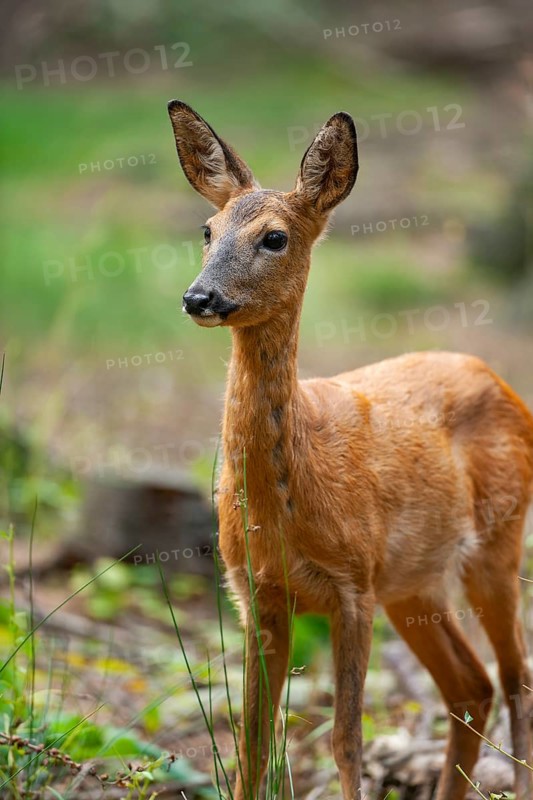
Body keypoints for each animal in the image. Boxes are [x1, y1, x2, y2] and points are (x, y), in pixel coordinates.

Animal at [167, 99, 533, 800]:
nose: (198, 297)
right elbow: (253, 744)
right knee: (470, 686)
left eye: (274, 238)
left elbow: (345, 740)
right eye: (206, 229)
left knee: (515, 677)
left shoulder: (352, 585)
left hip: (496, 544)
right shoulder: (255, 593)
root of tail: (501, 381)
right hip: (413, 584)